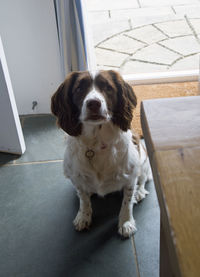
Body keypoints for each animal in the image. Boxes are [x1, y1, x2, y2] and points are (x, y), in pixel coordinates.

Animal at [51, 70, 152, 236]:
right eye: (79, 89)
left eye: (108, 88)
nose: (93, 103)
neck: (96, 143)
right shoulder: (76, 177)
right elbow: (83, 199)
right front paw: (83, 217)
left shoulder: (130, 176)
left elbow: (127, 201)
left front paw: (126, 222)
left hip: (143, 162)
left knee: (143, 179)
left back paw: (139, 192)